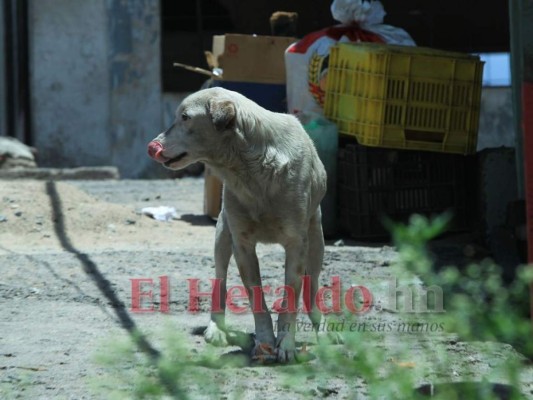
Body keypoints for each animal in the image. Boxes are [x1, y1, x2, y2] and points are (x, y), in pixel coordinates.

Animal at [148, 87, 326, 362]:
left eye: (185, 117)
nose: (151, 146)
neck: (253, 168)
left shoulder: (297, 245)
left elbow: (291, 298)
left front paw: (285, 344)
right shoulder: (242, 245)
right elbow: (257, 300)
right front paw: (265, 342)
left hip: (316, 241)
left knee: (312, 285)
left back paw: (324, 329)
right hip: (222, 236)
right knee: (219, 283)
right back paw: (216, 329)